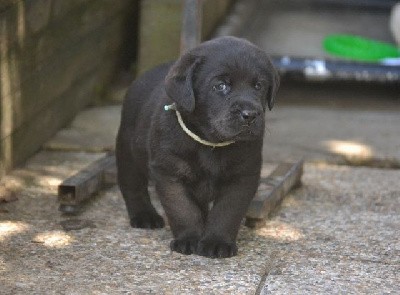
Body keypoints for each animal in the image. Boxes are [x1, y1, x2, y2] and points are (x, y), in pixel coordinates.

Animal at [115, 36, 278, 260]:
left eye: (259, 86)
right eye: (220, 86)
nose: (250, 114)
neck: (210, 143)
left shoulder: (243, 176)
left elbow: (227, 212)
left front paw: (217, 242)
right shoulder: (169, 173)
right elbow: (183, 209)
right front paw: (189, 239)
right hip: (128, 152)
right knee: (133, 187)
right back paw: (144, 216)